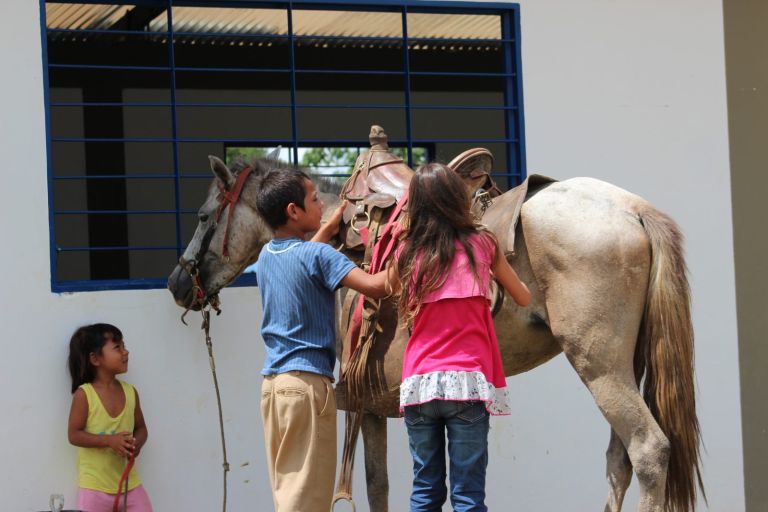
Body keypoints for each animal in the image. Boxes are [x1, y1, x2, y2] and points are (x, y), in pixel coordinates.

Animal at [167, 150, 704, 512]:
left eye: (202, 215)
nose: (178, 283)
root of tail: (632, 209)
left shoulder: (364, 401)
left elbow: (376, 484)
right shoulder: (376, 402)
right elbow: (381, 483)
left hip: (599, 364)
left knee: (648, 450)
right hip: (626, 363)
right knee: (619, 458)